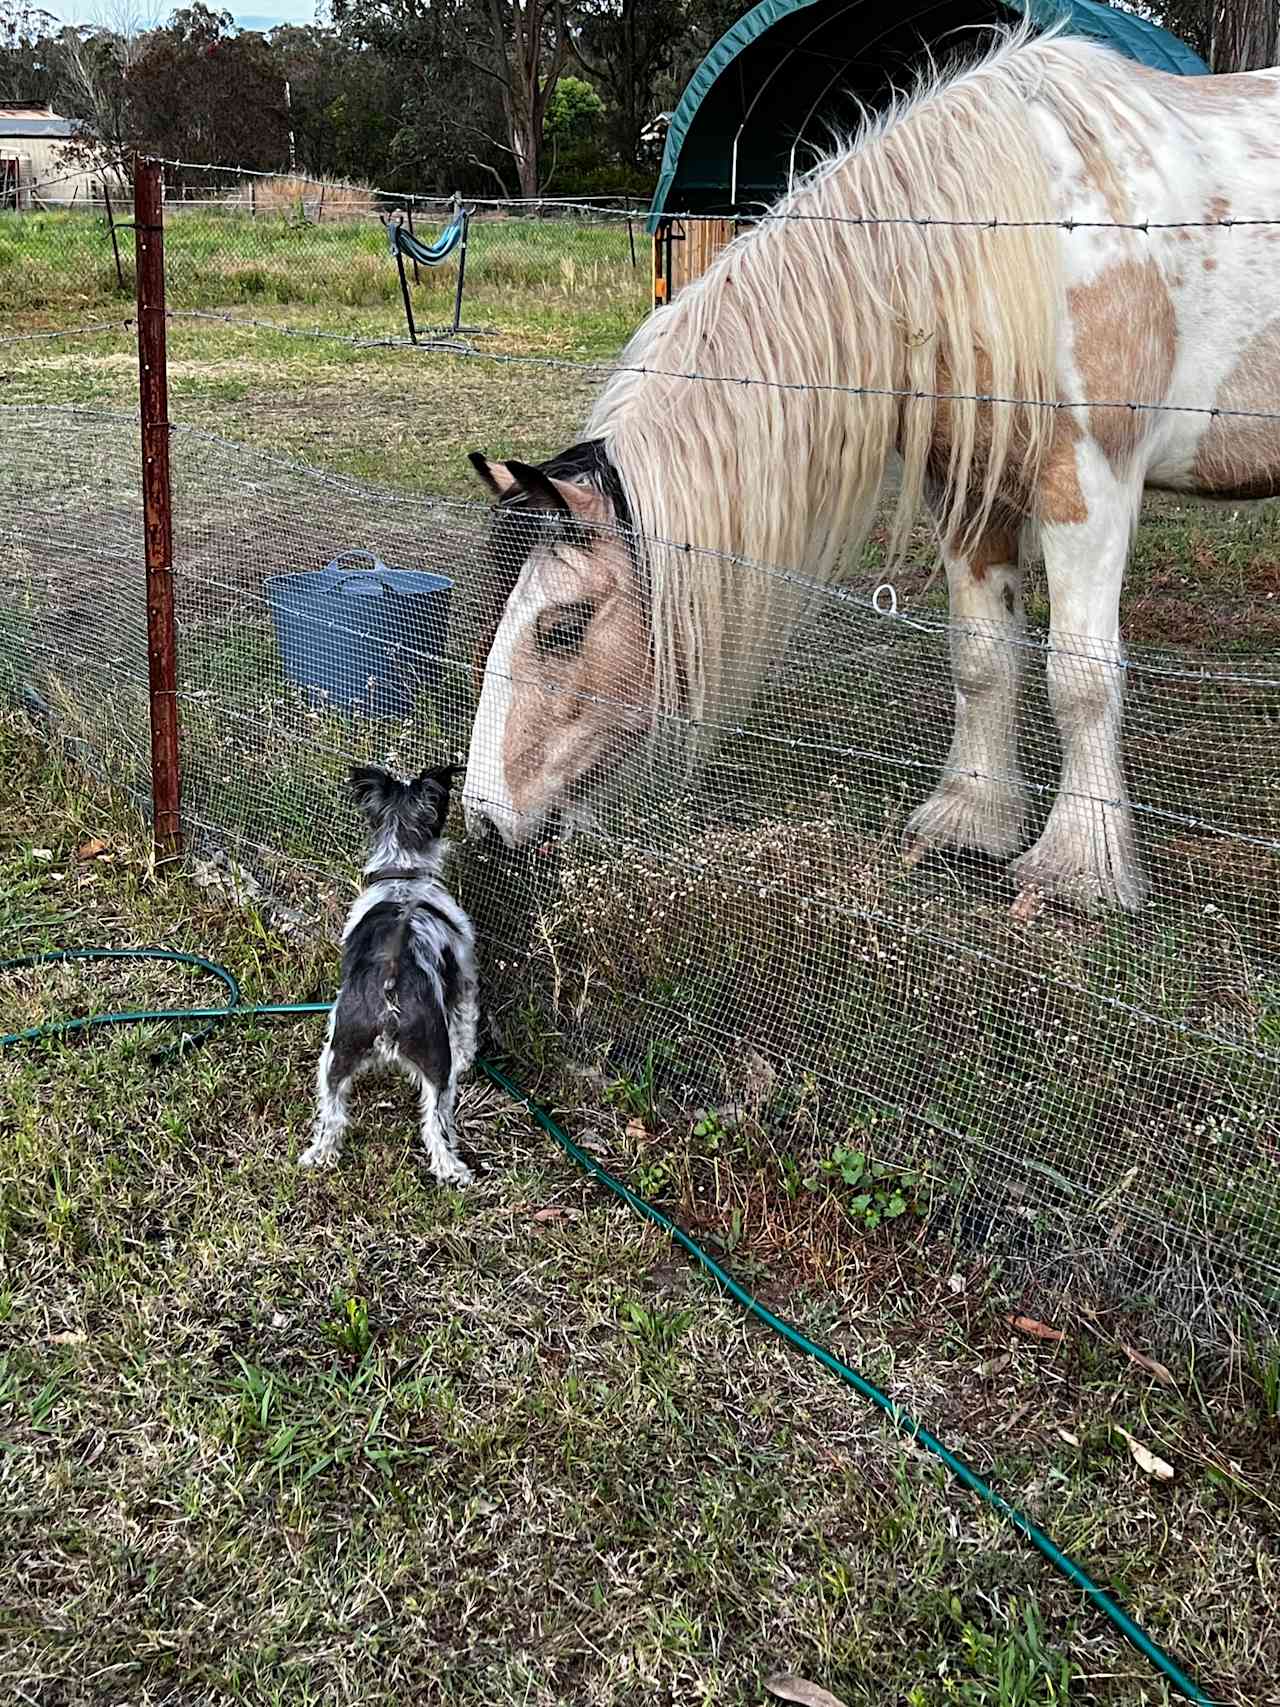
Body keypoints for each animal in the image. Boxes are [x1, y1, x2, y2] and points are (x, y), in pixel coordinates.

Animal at [300, 764, 481, 1188]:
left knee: (332, 1116)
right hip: (439, 1067)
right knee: (436, 1126)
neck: (403, 876)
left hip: (333, 1057)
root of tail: (389, 996)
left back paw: (320, 1154)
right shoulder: (465, 981)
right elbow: (467, 1027)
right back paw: (453, 1170)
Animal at [464, 23, 1280, 908]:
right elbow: (981, 657)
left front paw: (1078, 867)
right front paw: (970, 821)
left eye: (563, 627)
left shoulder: (1088, 485)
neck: (1014, 238)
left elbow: (1080, 677)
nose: (482, 818)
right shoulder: (967, 489)